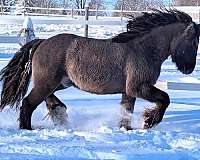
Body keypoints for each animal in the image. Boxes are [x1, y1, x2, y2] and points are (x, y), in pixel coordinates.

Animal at [0, 9, 200, 130]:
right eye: (194, 42)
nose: (189, 69)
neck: (143, 49)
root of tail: (41, 42)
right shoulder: (138, 87)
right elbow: (165, 98)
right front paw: (150, 121)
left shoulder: (129, 91)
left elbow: (126, 112)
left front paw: (127, 128)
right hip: (47, 83)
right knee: (28, 103)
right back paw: (28, 128)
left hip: (59, 83)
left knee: (47, 99)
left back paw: (60, 112)